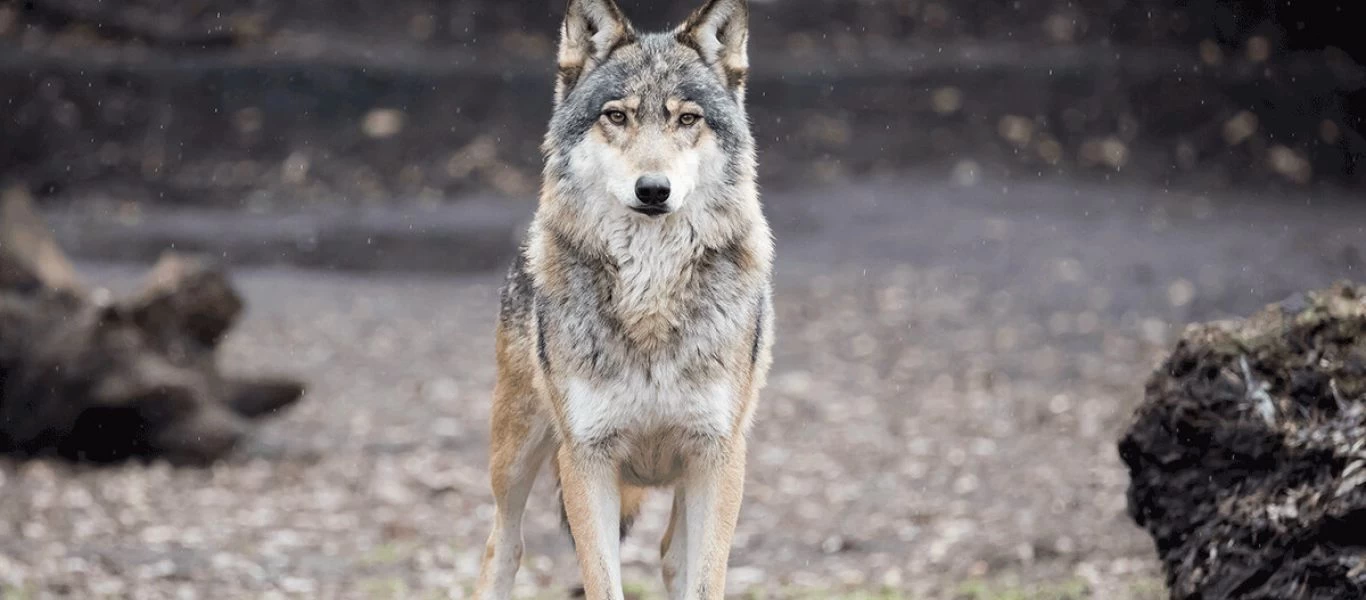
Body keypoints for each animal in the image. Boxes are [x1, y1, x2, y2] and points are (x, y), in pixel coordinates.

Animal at [469, 0, 770, 598]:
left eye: (686, 119)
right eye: (617, 116)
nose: (652, 189)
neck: (649, 297)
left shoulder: (718, 457)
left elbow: (706, 579)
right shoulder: (586, 459)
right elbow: (601, 580)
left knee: (671, 554)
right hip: (515, 458)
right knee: (502, 547)